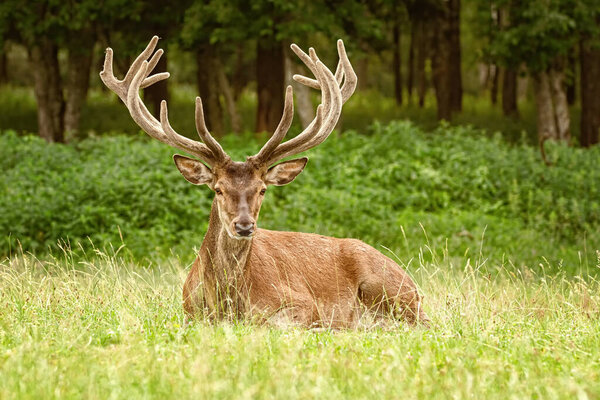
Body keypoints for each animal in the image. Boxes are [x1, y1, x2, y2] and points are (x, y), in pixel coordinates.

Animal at [101, 35, 428, 328]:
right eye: (218, 189)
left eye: (262, 189)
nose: (245, 226)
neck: (229, 305)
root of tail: (413, 285)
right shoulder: (188, 312)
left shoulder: (303, 302)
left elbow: (272, 323)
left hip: (388, 288)